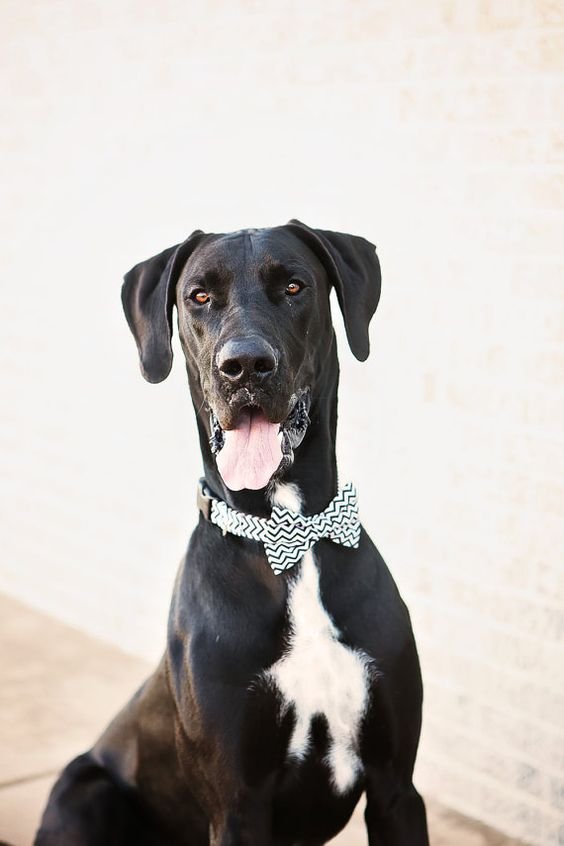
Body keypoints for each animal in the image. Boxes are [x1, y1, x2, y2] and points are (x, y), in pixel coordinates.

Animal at [35, 222, 430, 844]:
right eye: (199, 296)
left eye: (293, 286)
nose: (244, 365)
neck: (288, 533)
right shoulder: (237, 804)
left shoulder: (397, 788)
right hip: (82, 791)